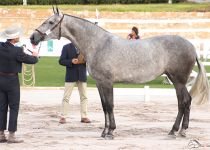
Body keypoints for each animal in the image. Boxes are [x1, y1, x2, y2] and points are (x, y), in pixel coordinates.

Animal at [30, 8, 209, 139]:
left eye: (50, 22)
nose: (33, 37)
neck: (98, 44)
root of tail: (192, 46)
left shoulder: (108, 83)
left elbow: (110, 105)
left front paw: (110, 132)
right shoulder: (100, 84)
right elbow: (104, 106)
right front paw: (104, 131)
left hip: (178, 81)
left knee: (183, 102)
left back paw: (176, 131)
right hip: (176, 80)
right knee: (185, 101)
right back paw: (179, 131)